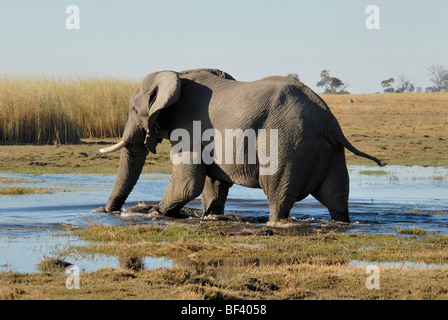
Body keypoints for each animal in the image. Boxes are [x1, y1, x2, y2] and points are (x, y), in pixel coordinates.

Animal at [100, 68, 384, 222]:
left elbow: (188, 184)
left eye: (132, 109)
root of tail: (330, 122)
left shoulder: (189, 128)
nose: (109, 211)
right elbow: (214, 184)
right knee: (337, 199)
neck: (177, 73)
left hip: (286, 144)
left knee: (278, 197)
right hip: (332, 152)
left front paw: (155, 212)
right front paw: (210, 217)